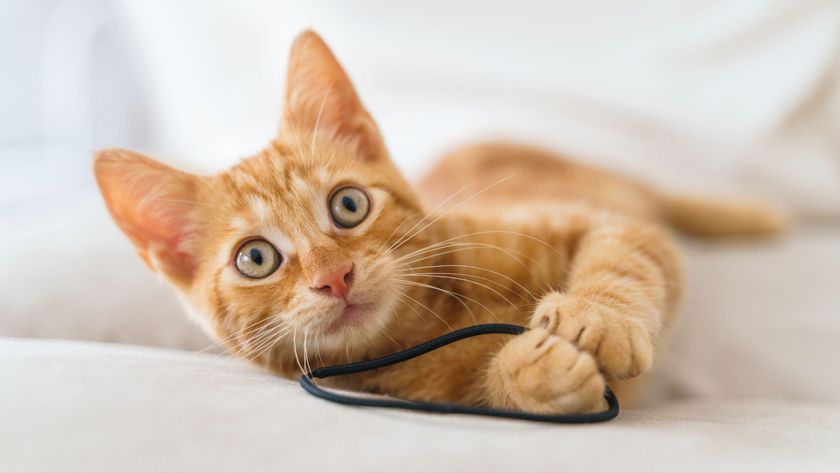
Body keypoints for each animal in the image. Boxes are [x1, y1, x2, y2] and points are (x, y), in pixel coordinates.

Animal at [95, 30, 784, 412]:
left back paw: (758, 214)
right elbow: (495, 387)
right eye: (256, 258)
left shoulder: (593, 221)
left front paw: (596, 318)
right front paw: (531, 371)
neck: (432, 321)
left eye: (348, 205)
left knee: (665, 200)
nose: (335, 277)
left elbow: (625, 255)